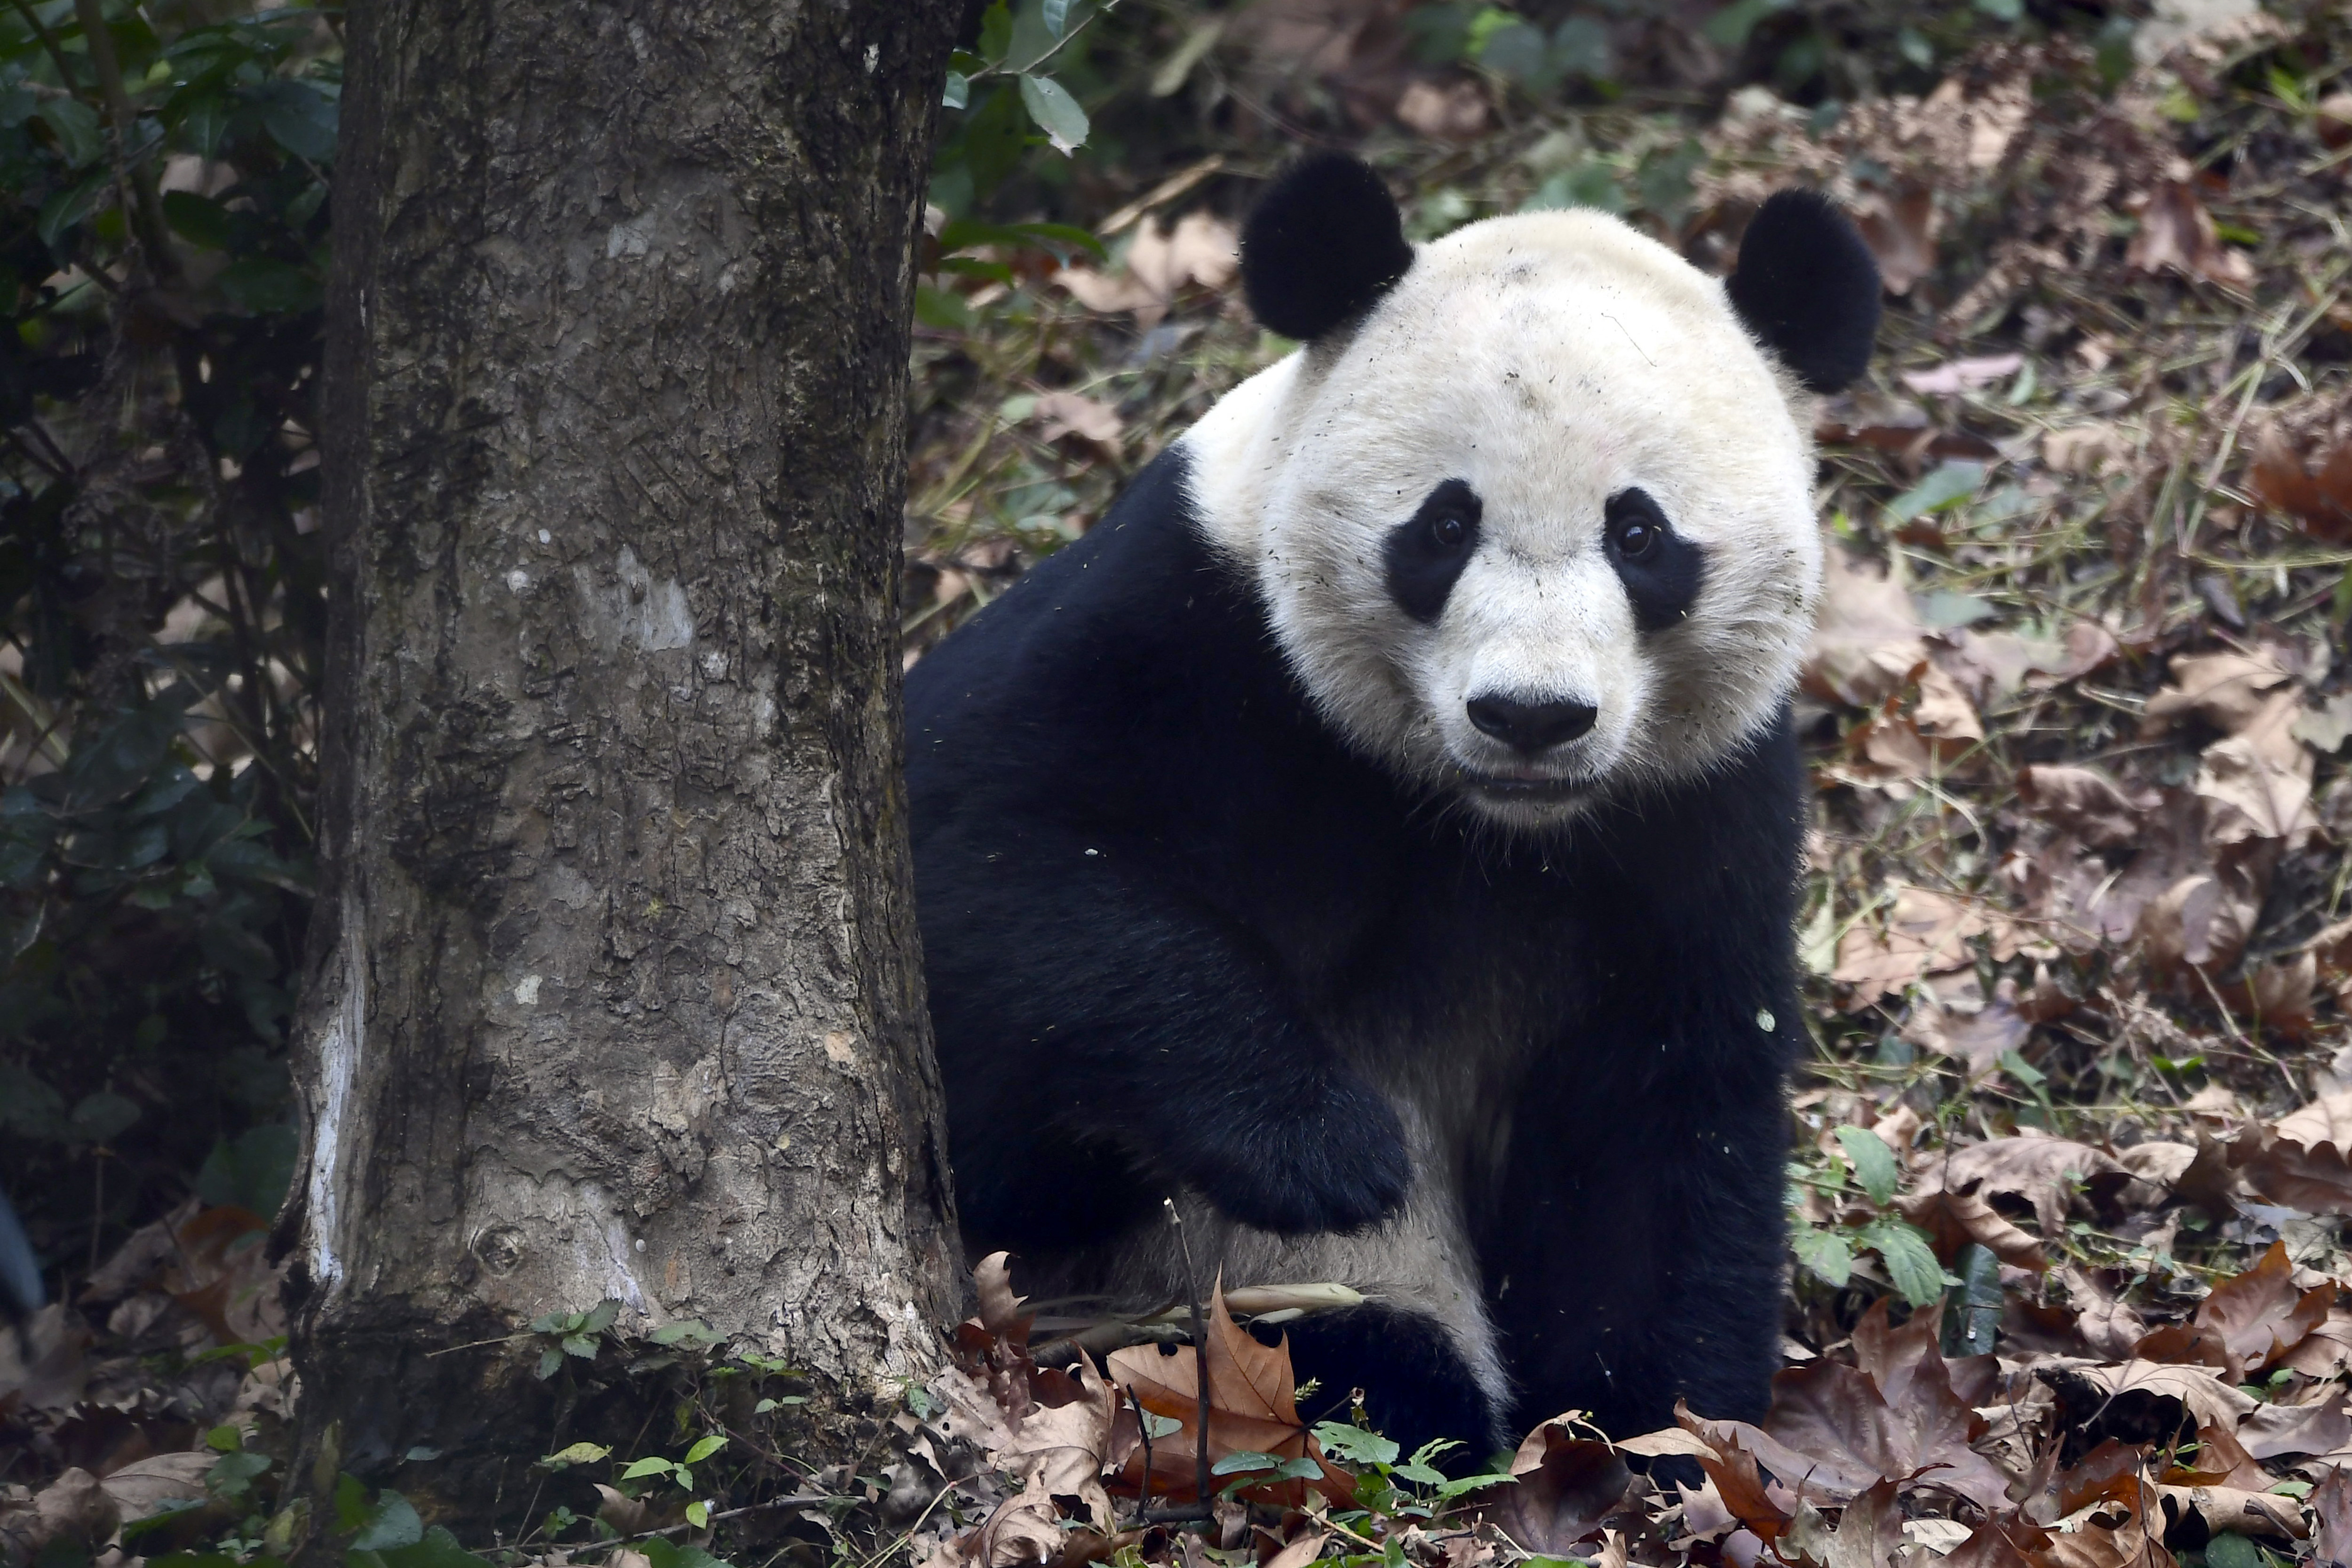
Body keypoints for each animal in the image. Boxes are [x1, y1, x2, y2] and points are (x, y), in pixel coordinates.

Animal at [898, 159, 1872, 1457]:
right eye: (1445, 525)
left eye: (1640, 534)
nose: (1530, 715)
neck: (1482, 827)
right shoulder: (1190, 635)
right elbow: (984, 887)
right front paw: (1319, 1140)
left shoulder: (1696, 808)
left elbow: (1666, 1114)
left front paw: (1650, 1430)